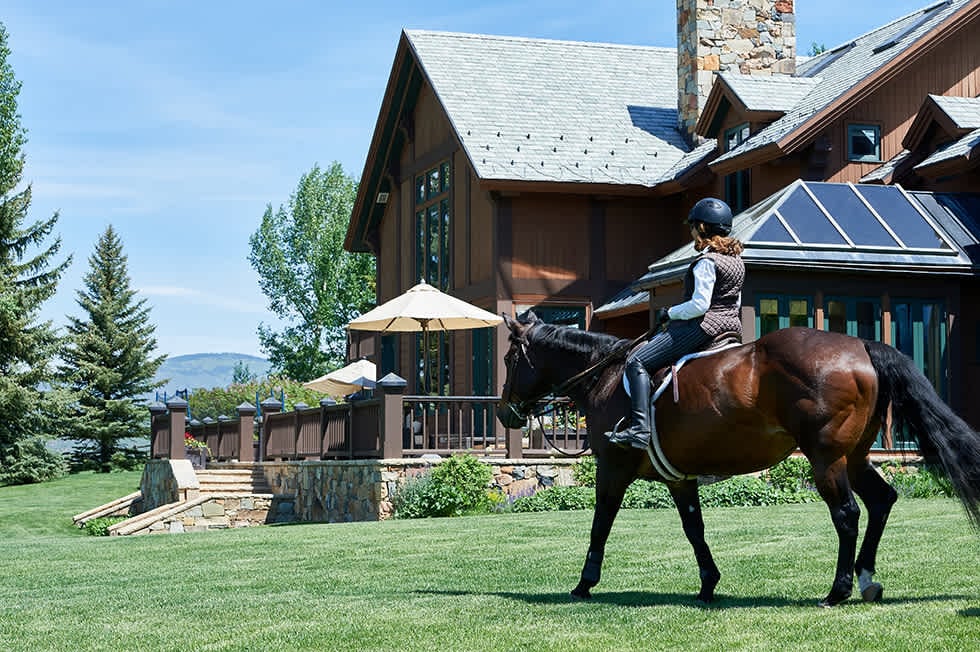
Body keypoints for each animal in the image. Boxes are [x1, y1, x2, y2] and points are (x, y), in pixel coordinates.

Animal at [498, 310, 980, 608]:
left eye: (509, 357)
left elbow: (600, 524)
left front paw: (584, 584)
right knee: (881, 502)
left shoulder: (612, 470)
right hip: (855, 456)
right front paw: (708, 583)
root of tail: (861, 346)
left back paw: (837, 590)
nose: (505, 412)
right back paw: (866, 579)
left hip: (826, 459)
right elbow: (694, 529)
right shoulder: (679, 478)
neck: (609, 375)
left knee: (847, 514)